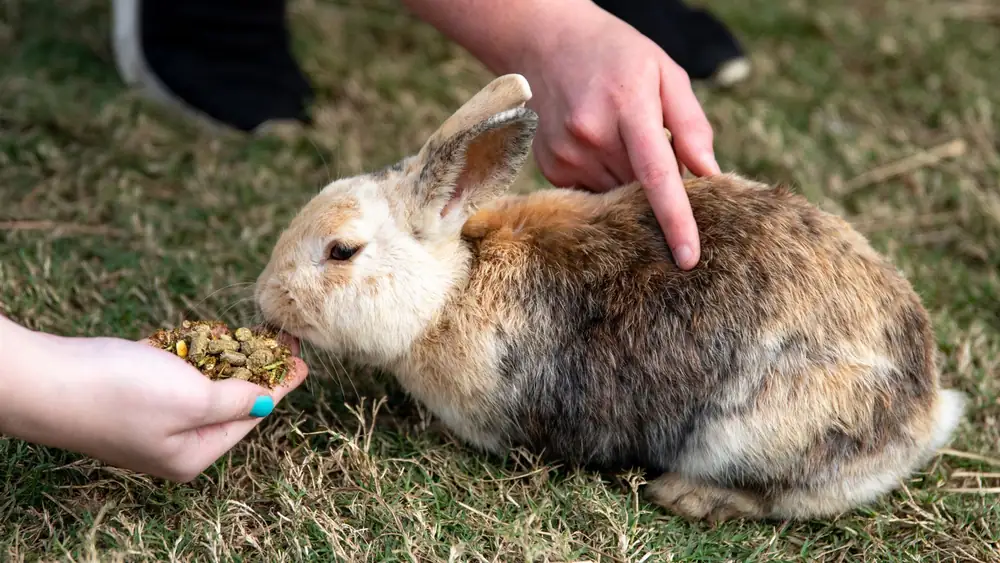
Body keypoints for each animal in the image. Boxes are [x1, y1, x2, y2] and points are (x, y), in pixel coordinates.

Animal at [255, 74, 967, 523]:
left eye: (342, 252)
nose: (265, 300)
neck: (452, 289)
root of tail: (926, 406)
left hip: (756, 433)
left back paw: (688, 498)